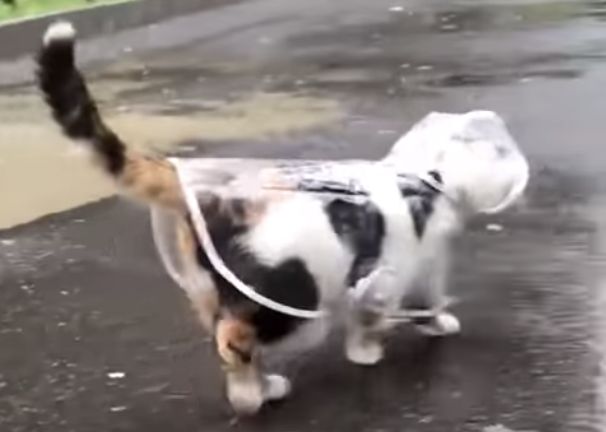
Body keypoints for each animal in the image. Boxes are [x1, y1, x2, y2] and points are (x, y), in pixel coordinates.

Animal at [36, 21, 529, 414]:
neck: (423, 172)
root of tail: (210, 195)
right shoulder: (399, 269)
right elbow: (401, 307)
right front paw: (382, 347)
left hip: (216, 291)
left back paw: (262, 387)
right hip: (292, 292)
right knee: (236, 341)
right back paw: (253, 395)